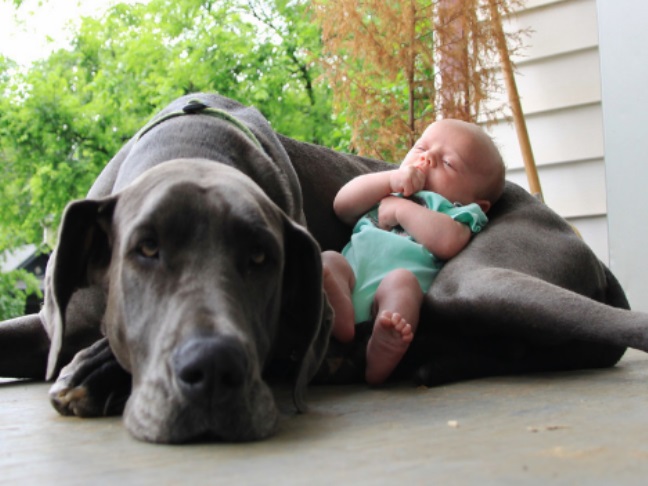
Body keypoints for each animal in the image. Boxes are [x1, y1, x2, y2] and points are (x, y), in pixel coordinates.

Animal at [1, 92, 648, 444]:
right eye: (147, 251)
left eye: (261, 261)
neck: (192, 144)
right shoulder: (54, 321)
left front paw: (97, 370)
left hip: (475, 281)